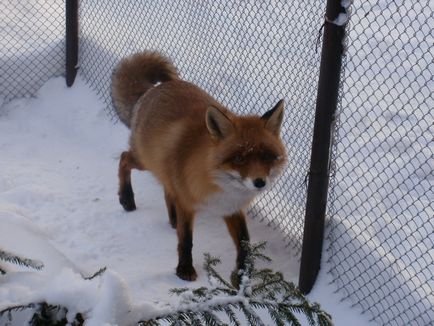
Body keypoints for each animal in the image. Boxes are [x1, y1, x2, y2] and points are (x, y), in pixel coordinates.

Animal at [112, 51, 286, 282]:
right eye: (239, 158)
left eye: (266, 156)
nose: (259, 182)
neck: (220, 184)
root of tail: (155, 89)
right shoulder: (187, 202)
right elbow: (186, 239)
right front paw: (184, 269)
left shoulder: (231, 208)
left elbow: (245, 243)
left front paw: (242, 275)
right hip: (146, 160)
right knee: (123, 158)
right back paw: (127, 198)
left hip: (163, 166)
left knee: (167, 190)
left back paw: (171, 219)